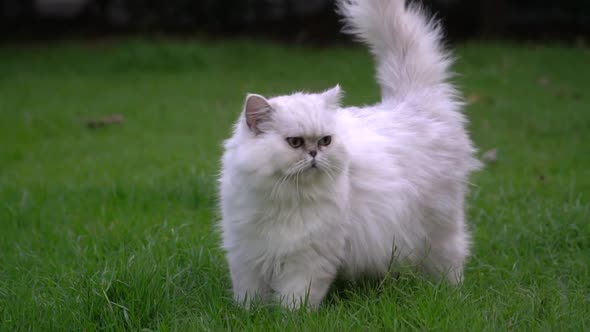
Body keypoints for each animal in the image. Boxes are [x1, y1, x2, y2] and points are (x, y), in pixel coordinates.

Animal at [220, 0, 484, 308]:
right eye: (295, 142)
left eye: (325, 141)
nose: (314, 153)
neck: (285, 198)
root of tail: (411, 103)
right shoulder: (246, 254)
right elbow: (249, 296)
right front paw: (250, 313)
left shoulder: (308, 259)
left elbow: (295, 299)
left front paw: (287, 315)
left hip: (439, 230)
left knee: (451, 261)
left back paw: (448, 294)